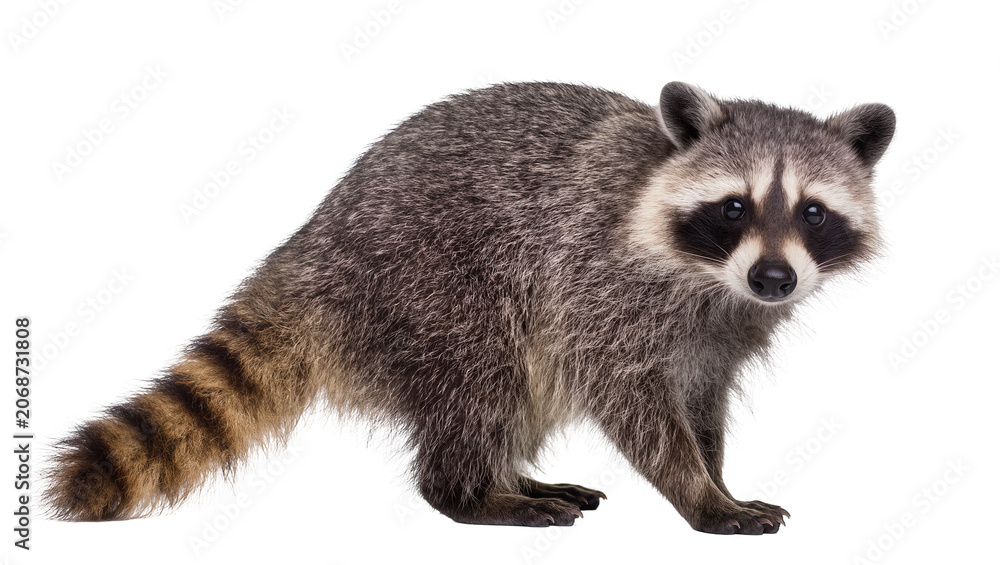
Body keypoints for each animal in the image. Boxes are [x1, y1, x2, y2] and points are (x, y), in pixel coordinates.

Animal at [46, 81, 894, 534]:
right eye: (734, 206)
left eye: (812, 211)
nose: (775, 278)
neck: (714, 280)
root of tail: (309, 248)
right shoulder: (600, 287)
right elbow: (635, 404)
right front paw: (697, 494)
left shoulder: (719, 333)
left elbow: (700, 401)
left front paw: (717, 477)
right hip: (427, 284)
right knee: (480, 376)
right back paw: (473, 492)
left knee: (511, 395)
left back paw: (514, 475)